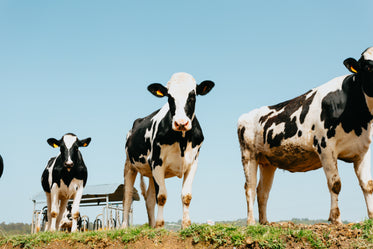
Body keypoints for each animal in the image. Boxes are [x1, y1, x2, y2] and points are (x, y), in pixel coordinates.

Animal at [121, 72, 214, 230]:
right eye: (170, 97)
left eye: (192, 96)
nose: (181, 123)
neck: (182, 140)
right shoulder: (157, 162)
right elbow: (162, 196)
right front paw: (160, 225)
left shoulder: (192, 163)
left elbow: (186, 196)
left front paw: (186, 224)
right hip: (129, 165)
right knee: (127, 196)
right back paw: (124, 227)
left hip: (150, 172)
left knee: (149, 199)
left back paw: (151, 225)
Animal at [237, 47, 372, 226]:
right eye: (368, 67)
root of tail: (246, 115)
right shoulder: (325, 147)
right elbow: (335, 184)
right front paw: (336, 219)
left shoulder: (363, 150)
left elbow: (367, 185)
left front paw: (371, 216)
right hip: (248, 155)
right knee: (250, 188)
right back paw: (251, 222)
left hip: (267, 162)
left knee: (262, 191)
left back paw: (265, 222)